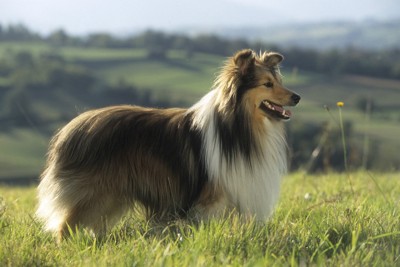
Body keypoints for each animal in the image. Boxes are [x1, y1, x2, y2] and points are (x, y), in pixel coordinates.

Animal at [36, 48, 300, 241]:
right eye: (267, 84)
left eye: (277, 80)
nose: (297, 97)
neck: (236, 127)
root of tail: (71, 129)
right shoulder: (210, 200)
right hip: (93, 195)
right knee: (64, 228)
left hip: (111, 198)